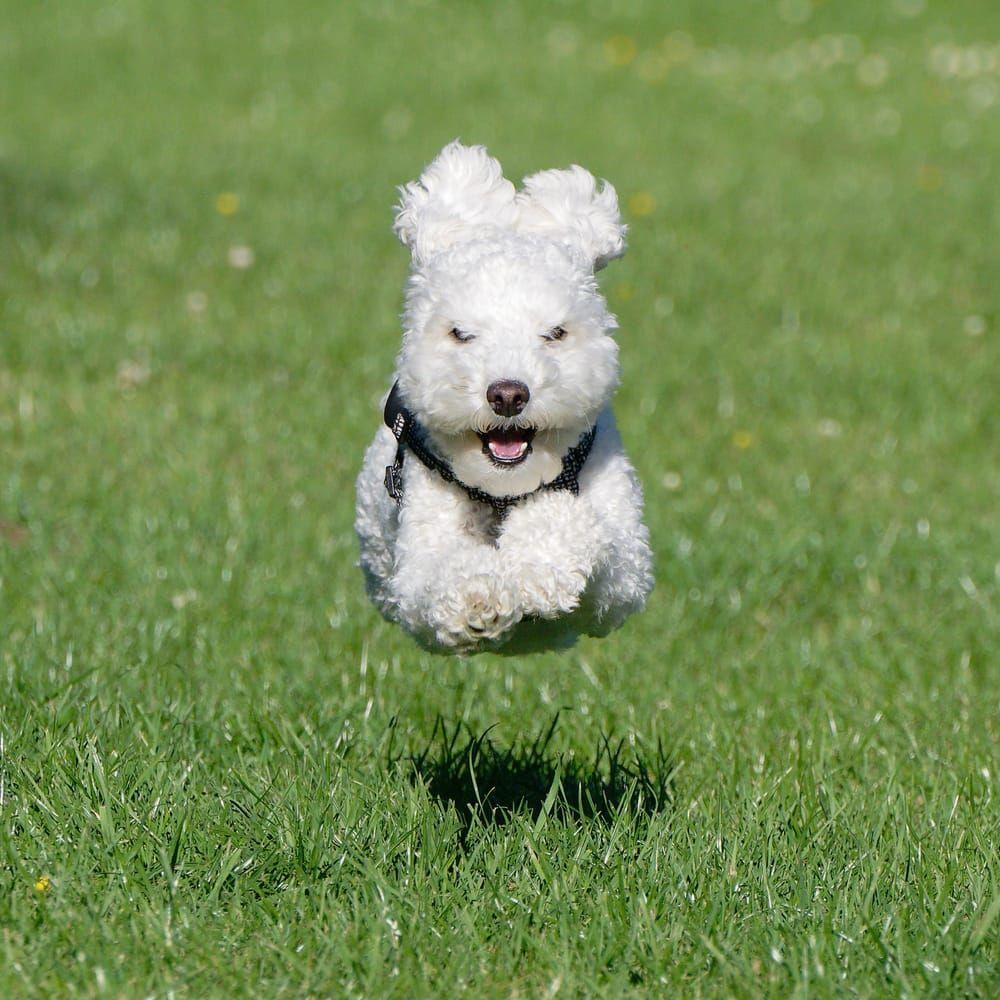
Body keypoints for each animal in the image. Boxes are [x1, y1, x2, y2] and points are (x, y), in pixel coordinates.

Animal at [356, 143, 652, 656]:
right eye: (461, 333)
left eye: (555, 333)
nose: (508, 394)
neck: (503, 493)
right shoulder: (416, 561)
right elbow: (442, 573)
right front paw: (479, 599)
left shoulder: (627, 570)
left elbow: (575, 526)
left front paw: (540, 568)